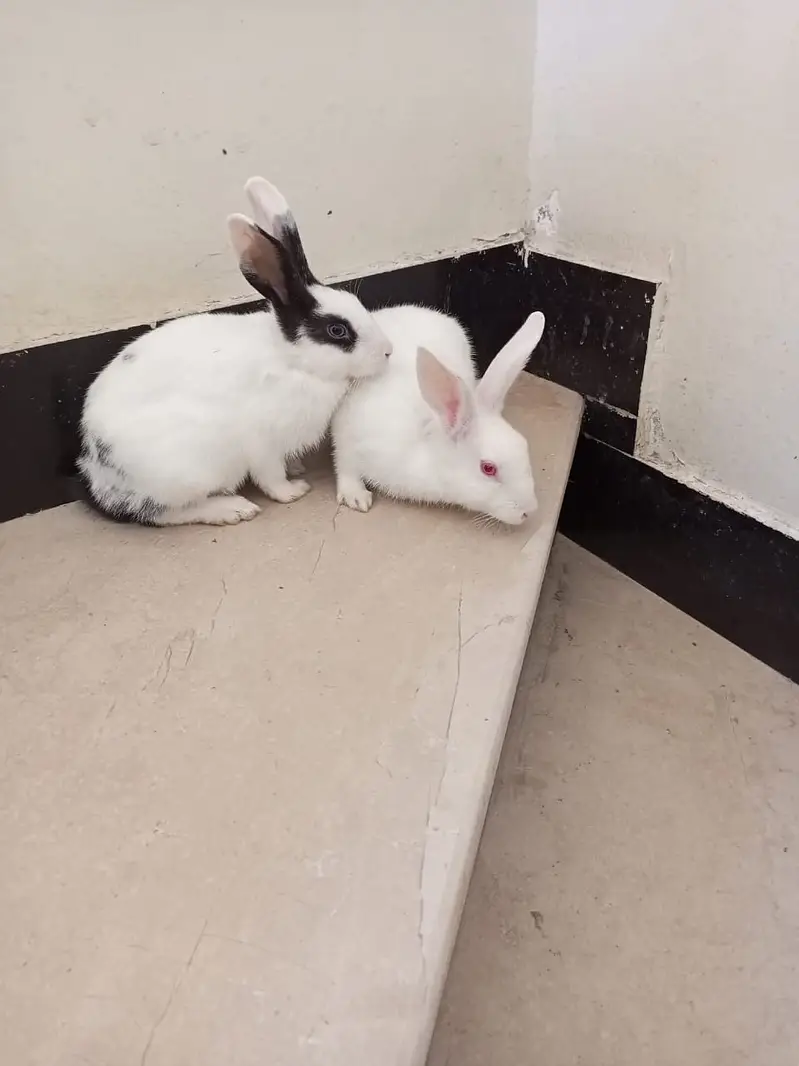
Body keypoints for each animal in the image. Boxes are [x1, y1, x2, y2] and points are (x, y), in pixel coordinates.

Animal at [77, 177, 393, 527]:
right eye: (337, 331)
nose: (387, 351)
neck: (292, 361)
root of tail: (97, 477)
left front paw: (297, 468)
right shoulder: (262, 443)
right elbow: (271, 477)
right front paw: (293, 490)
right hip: (190, 469)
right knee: (163, 513)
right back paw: (234, 509)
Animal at [331, 306, 546, 526]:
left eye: (524, 446)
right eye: (488, 468)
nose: (529, 511)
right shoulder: (347, 433)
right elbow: (345, 464)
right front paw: (356, 497)